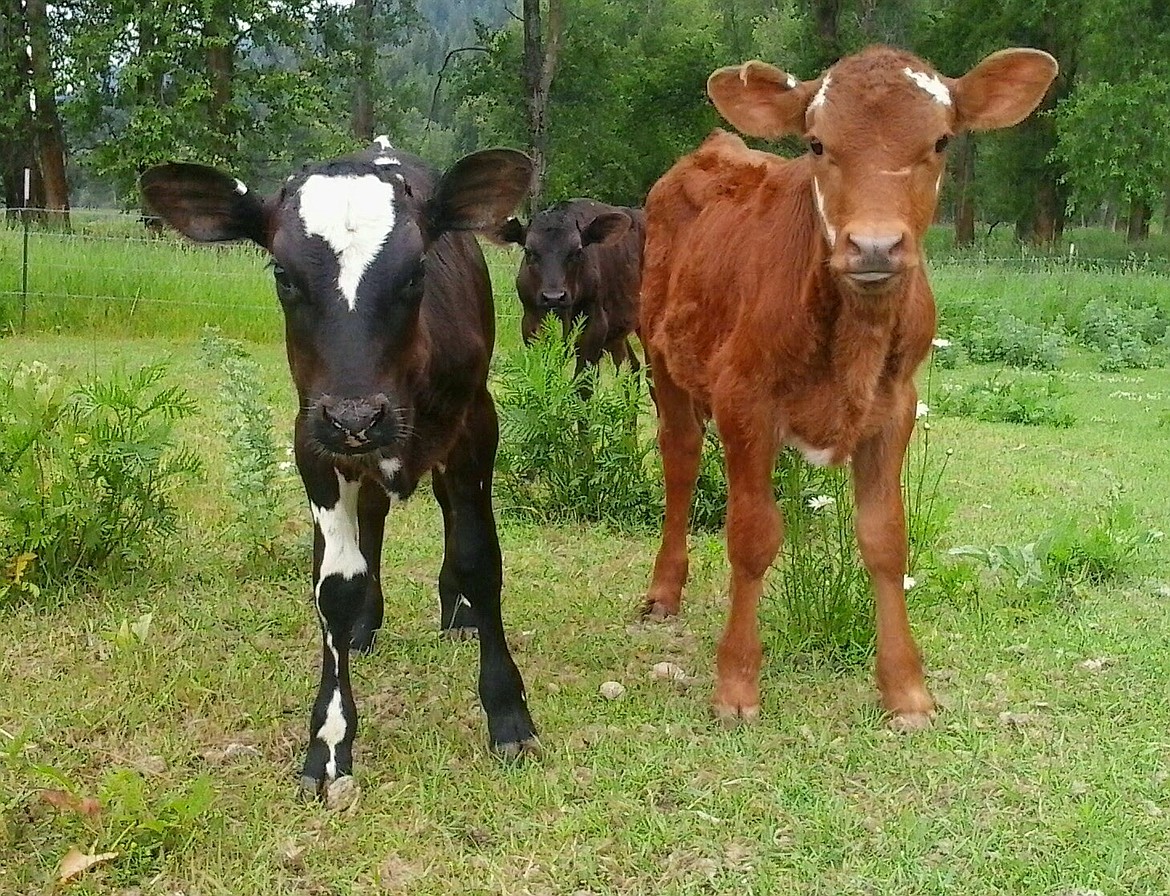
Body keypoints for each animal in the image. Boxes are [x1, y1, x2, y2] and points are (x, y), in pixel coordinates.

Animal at [141, 136, 538, 795]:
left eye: (417, 271)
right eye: (283, 274)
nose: (356, 417)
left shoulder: (478, 425)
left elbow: (481, 560)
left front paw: (508, 714)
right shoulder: (314, 442)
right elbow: (336, 586)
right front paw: (329, 741)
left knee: (448, 516)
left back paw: (457, 614)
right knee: (372, 519)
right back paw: (366, 626)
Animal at [496, 200, 650, 383]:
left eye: (578, 251)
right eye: (528, 251)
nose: (554, 297)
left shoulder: (594, 323)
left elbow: (583, 379)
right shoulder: (530, 320)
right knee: (630, 366)